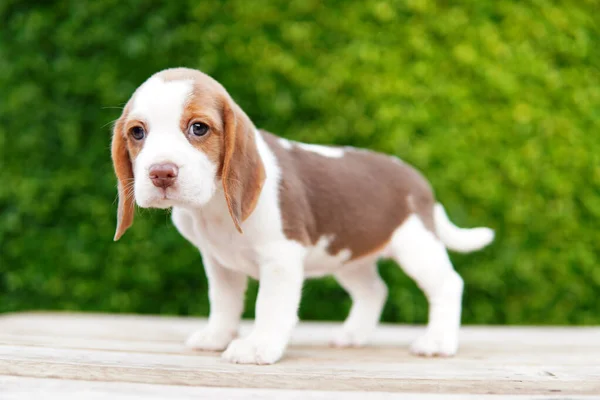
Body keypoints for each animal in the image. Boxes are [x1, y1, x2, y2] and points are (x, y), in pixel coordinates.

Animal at [111, 67, 492, 364]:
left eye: (199, 128)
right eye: (137, 132)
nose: (161, 173)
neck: (213, 205)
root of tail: (418, 181)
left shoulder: (281, 258)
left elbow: (269, 306)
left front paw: (258, 346)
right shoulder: (219, 263)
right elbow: (223, 302)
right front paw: (216, 337)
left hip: (416, 246)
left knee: (448, 284)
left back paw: (438, 342)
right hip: (349, 255)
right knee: (374, 290)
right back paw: (353, 335)